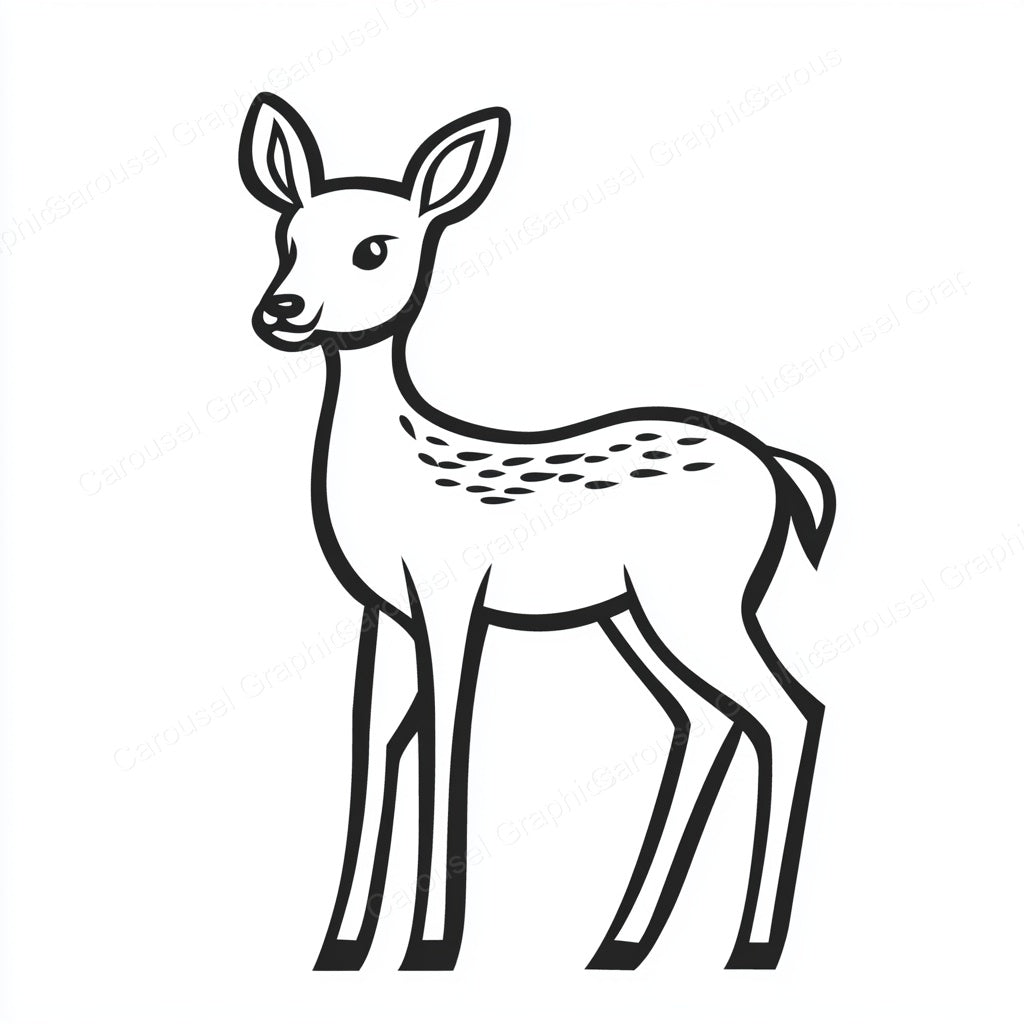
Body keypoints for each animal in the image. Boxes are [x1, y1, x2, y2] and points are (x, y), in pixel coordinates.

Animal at [238, 92, 836, 973]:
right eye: (288, 240)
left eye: (374, 249)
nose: (281, 310)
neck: (394, 467)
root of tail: (780, 469)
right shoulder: (382, 611)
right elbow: (372, 743)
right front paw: (341, 945)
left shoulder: (452, 596)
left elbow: (449, 737)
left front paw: (432, 946)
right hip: (635, 613)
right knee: (706, 719)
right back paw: (622, 940)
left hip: (697, 596)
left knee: (788, 711)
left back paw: (750, 945)